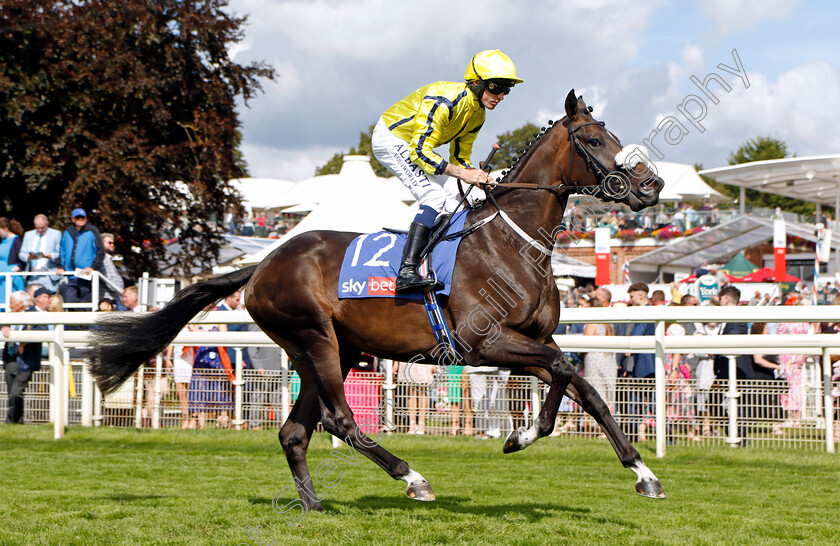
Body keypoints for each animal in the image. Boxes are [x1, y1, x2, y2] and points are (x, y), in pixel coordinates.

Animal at [83, 89, 664, 510]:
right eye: (594, 139)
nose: (650, 186)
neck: (510, 242)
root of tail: (262, 265)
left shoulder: (532, 340)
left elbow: (586, 389)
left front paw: (643, 473)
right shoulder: (485, 343)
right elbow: (563, 375)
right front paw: (520, 437)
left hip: (329, 350)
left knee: (295, 431)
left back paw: (314, 505)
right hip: (314, 338)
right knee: (339, 420)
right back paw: (412, 478)